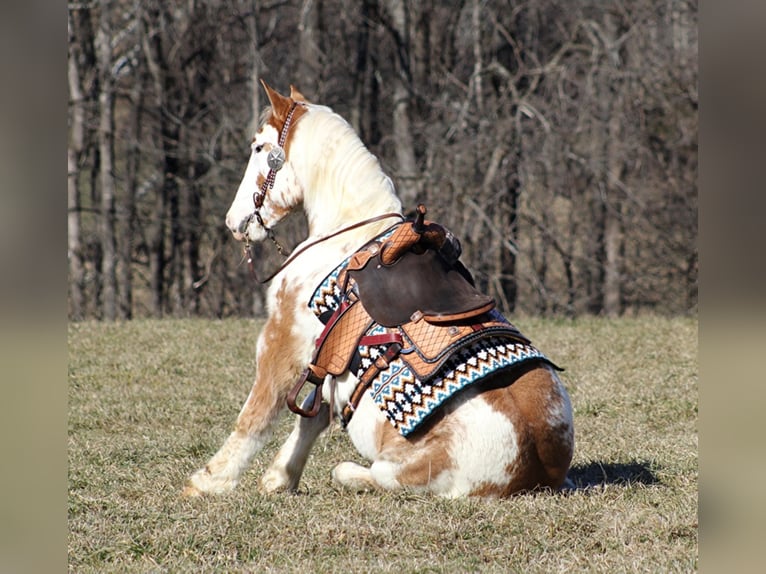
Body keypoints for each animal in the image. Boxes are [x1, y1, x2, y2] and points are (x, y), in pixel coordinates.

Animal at [183, 81, 572, 500]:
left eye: (258, 148)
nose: (233, 222)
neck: (346, 232)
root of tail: (533, 472)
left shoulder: (282, 341)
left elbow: (255, 415)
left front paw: (210, 481)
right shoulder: (328, 357)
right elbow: (312, 416)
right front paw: (278, 478)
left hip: (406, 471)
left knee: (359, 473)